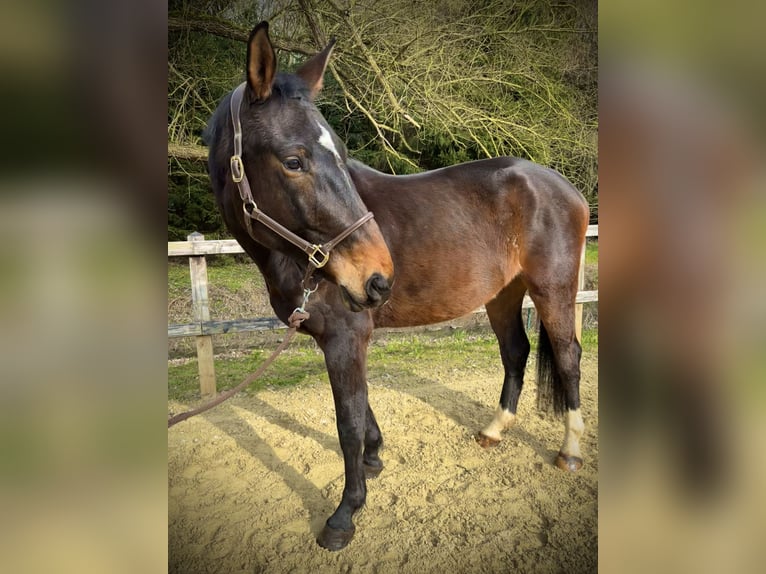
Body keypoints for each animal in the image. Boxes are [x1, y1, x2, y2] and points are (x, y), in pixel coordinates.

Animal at [202, 22, 588, 552]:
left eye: (341, 155)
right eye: (293, 160)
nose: (378, 276)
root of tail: (563, 186)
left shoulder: (346, 337)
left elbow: (346, 421)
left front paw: (345, 513)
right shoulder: (341, 339)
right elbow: (361, 408)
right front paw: (374, 458)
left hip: (553, 289)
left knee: (568, 357)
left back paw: (570, 451)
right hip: (503, 295)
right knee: (516, 352)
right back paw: (493, 431)